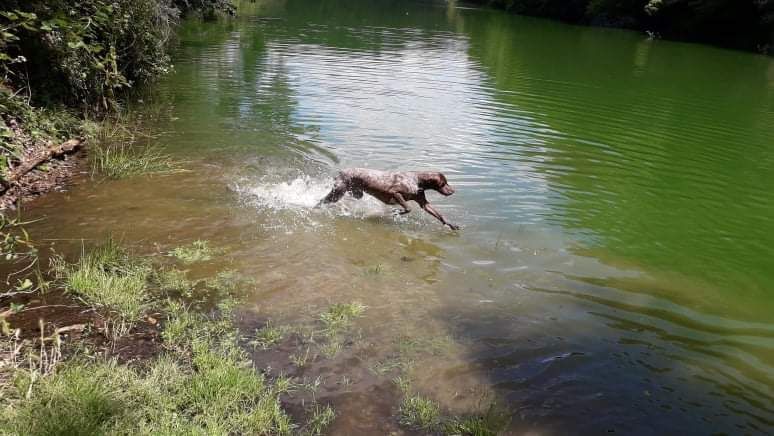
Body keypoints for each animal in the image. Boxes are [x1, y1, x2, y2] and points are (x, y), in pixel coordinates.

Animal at [316, 168, 460, 230]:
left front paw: (451, 225)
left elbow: (439, 215)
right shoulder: (395, 193)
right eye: (443, 183)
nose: (453, 191)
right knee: (321, 201)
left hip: (355, 193)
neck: (418, 181)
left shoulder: (423, 203)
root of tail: (340, 172)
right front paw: (396, 212)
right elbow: (407, 208)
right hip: (337, 193)